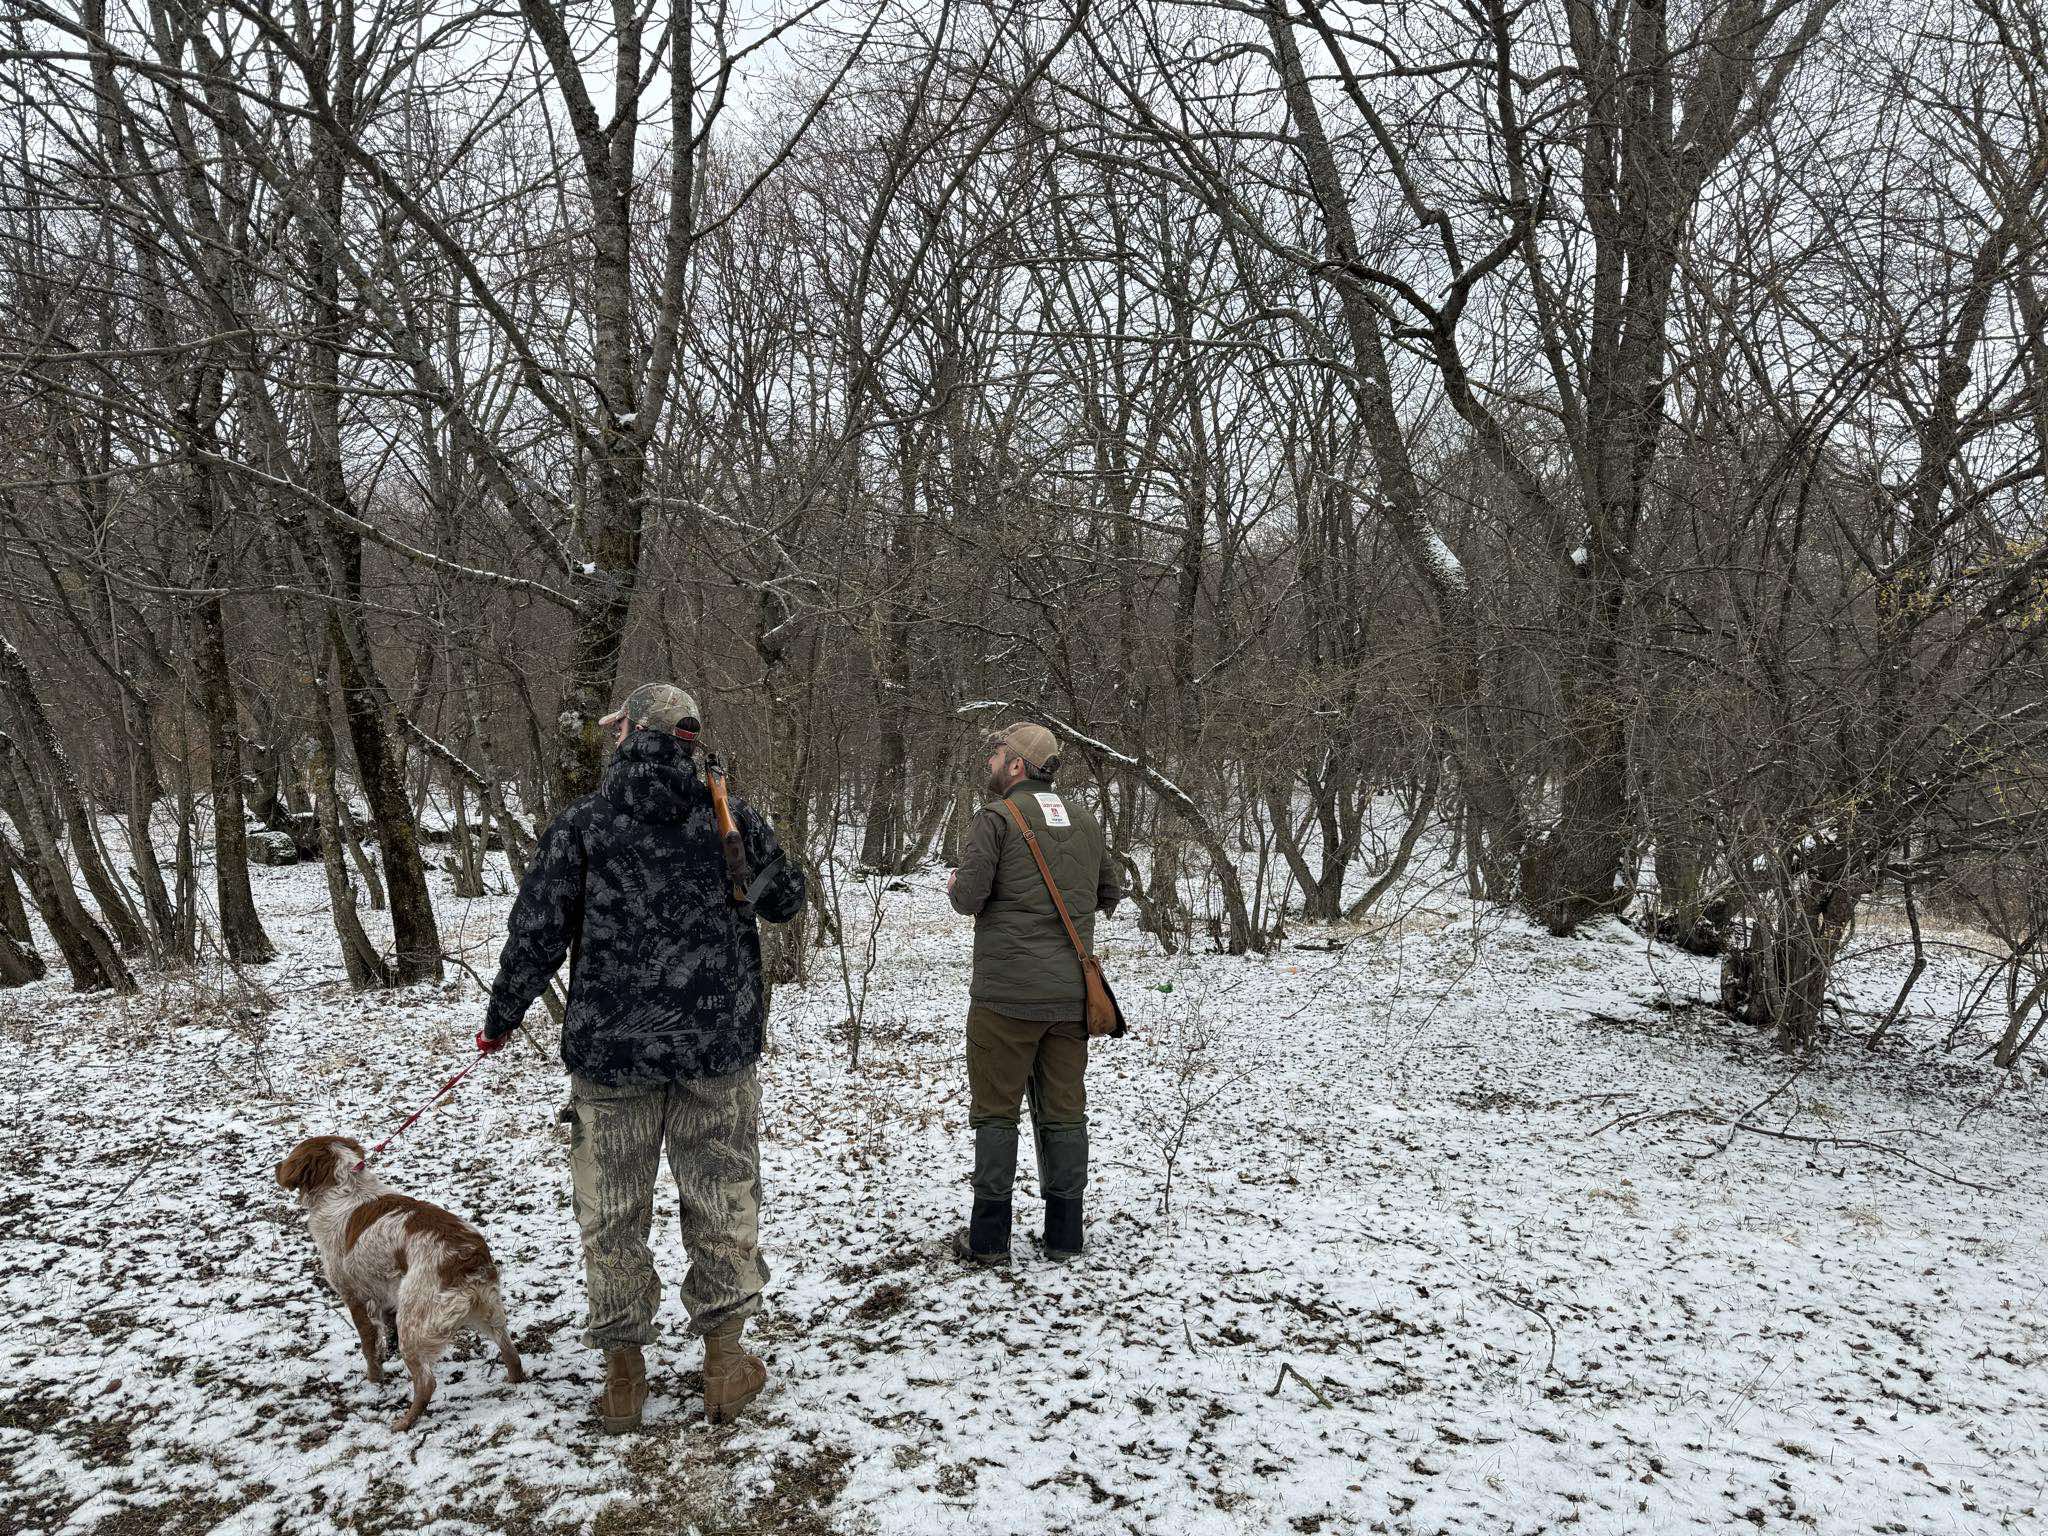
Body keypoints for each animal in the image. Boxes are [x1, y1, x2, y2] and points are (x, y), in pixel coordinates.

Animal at [274, 1138, 524, 1441]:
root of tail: (465, 1256)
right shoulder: (385, 1295)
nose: (275, 1166)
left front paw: (374, 1380)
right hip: (489, 1315)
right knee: (512, 1356)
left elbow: (368, 1345)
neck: (345, 1188)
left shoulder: (354, 1296)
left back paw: (404, 1423)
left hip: (414, 1326)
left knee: (427, 1383)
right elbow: (385, 1330)